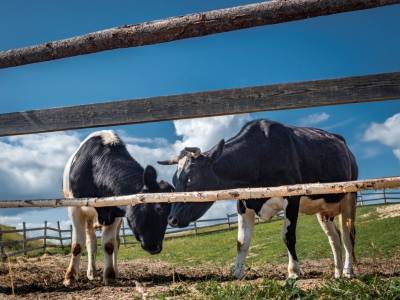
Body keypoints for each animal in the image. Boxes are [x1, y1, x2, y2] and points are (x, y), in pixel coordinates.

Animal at [63, 131, 173, 286]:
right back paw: (91, 272)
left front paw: (109, 276)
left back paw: (112, 271)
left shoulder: (114, 211)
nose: (155, 247)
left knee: (115, 242)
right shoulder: (75, 209)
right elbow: (77, 245)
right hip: (88, 217)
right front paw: (70, 277)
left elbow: (109, 245)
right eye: (158, 208)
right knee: (91, 241)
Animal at [158, 119, 358, 278]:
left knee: (347, 235)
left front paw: (294, 271)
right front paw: (237, 273)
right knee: (334, 237)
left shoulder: (292, 198)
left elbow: (288, 236)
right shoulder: (243, 204)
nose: (171, 219)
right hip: (323, 209)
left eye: (190, 178)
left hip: (350, 195)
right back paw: (337, 273)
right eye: (174, 181)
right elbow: (241, 242)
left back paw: (347, 271)